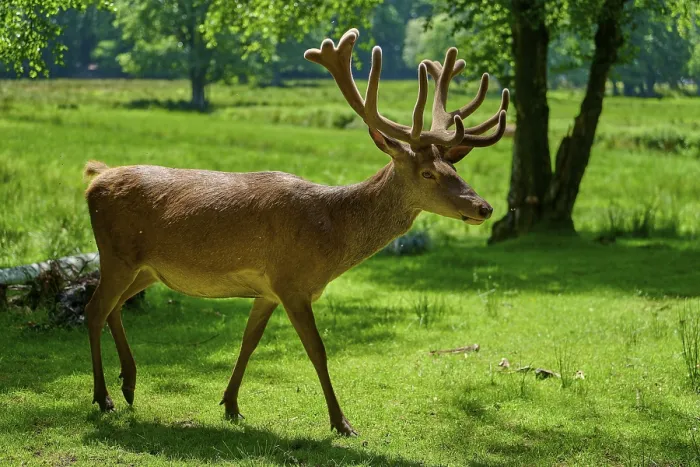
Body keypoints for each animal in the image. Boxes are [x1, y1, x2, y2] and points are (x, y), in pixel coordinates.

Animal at [83, 28, 509, 436]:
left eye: (455, 168)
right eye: (428, 173)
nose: (484, 207)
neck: (331, 237)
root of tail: (95, 179)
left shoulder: (268, 289)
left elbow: (249, 341)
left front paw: (231, 405)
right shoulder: (291, 281)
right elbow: (317, 350)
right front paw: (341, 423)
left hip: (147, 269)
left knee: (114, 307)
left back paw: (129, 383)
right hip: (116, 254)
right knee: (94, 309)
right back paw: (103, 397)